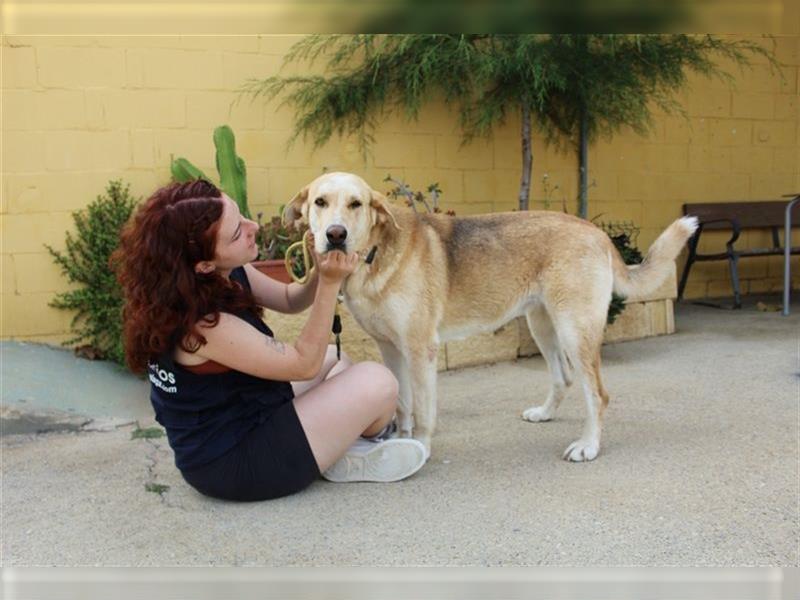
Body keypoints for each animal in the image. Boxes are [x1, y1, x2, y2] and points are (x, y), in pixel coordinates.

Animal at [284, 171, 696, 462]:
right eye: (320, 202)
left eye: (356, 203)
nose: (335, 235)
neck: (375, 253)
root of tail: (595, 230)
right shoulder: (390, 349)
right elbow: (401, 403)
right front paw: (400, 441)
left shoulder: (420, 350)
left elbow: (422, 409)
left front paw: (421, 449)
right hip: (542, 326)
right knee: (563, 378)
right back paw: (545, 413)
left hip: (574, 331)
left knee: (597, 393)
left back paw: (588, 446)